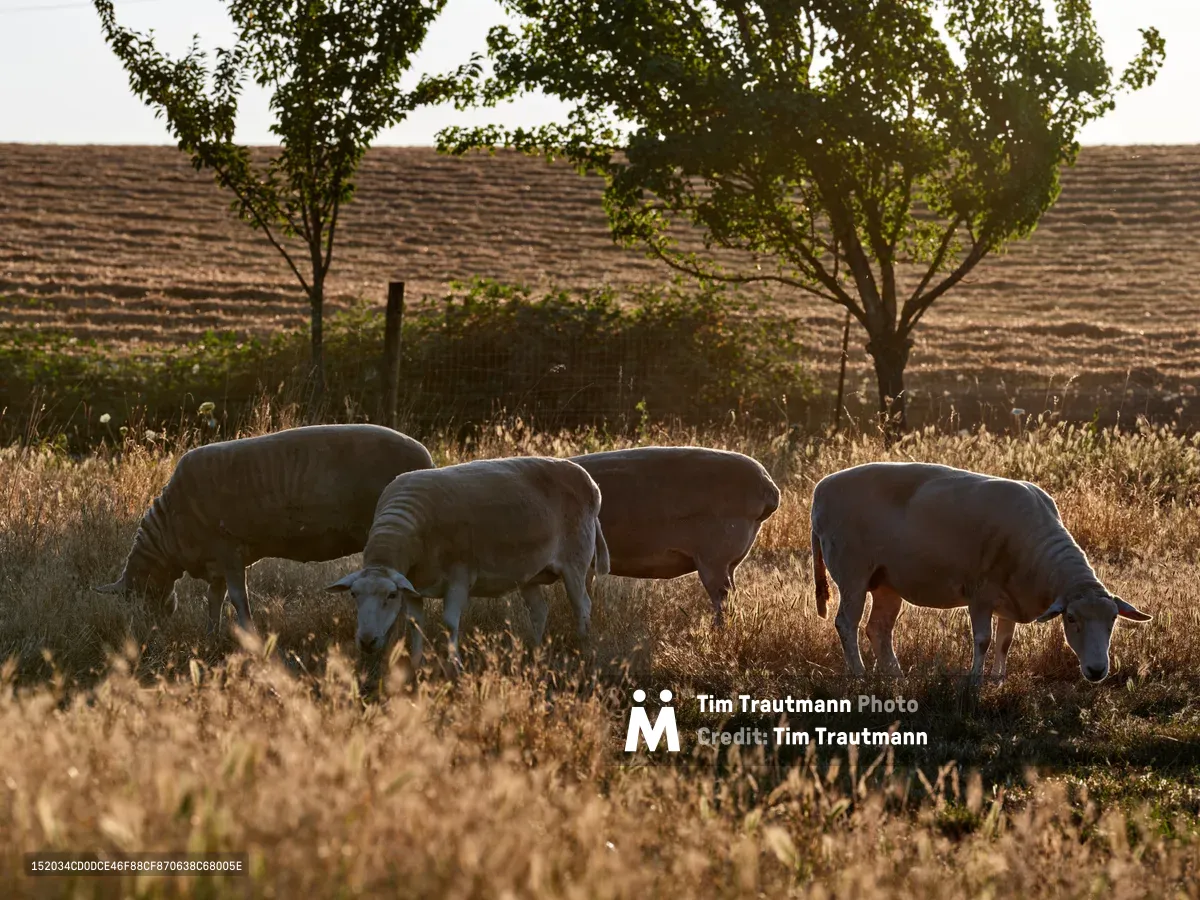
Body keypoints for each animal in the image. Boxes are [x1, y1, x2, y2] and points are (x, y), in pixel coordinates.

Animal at [95, 424, 435, 634]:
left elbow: (237, 598)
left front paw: (248, 633)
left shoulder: (229, 549)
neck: (169, 532)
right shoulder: (215, 561)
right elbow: (214, 599)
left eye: (138, 594)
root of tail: (427, 461)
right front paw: (211, 633)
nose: (152, 628)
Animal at [325, 456, 609, 668]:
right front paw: (415, 664)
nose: (367, 642)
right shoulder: (414, 585)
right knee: (539, 611)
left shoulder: (459, 577)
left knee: (582, 605)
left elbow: (450, 622)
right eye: (353, 595)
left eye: (391, 596)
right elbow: (415, 623)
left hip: (575, 562)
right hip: (529, 573)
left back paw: (583, 647)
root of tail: (592, 485)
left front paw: (455, 666)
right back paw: (535, 652)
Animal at [810, 461, 1151, 683]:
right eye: (1071, 618)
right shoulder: (980, 594)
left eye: (1113, 620)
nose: (1097, 671)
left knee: (878, 629)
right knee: (847, 624)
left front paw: (998, 681)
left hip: (886, 581)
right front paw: (975, 682)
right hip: (853, 574)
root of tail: (820, 490)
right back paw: (860, 676)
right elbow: (984, 640)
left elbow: (1005, 642)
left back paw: (897, 679)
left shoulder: (1011, 598)